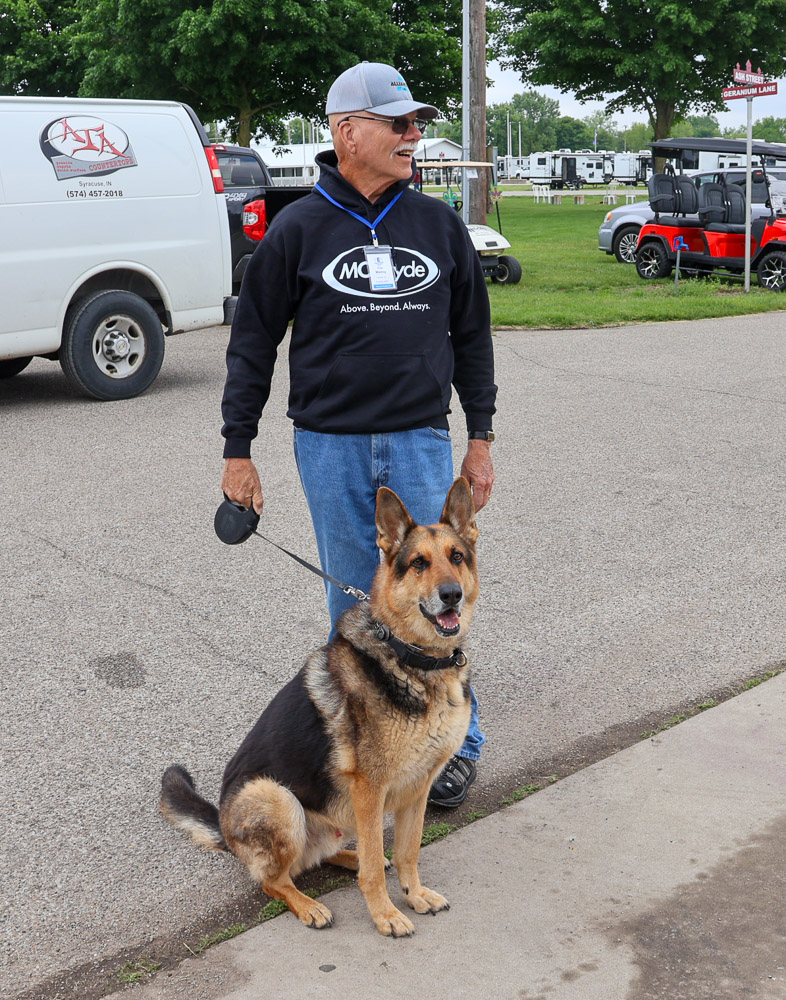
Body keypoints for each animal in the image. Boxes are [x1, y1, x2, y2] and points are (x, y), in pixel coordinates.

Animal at [160, 477, 479, 937]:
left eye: (456, 557)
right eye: (419, 563)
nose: (451, 594)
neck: (412, 658)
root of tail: (222, 822)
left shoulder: (417, 789)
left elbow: (408, 851)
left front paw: (415, 895)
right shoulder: (370, 790)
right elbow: (373, 872)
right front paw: (385, 915)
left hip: (332, 819)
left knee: (322, 858)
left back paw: (349, 857)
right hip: (277, 798)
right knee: (274, 881)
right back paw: (309, 905)